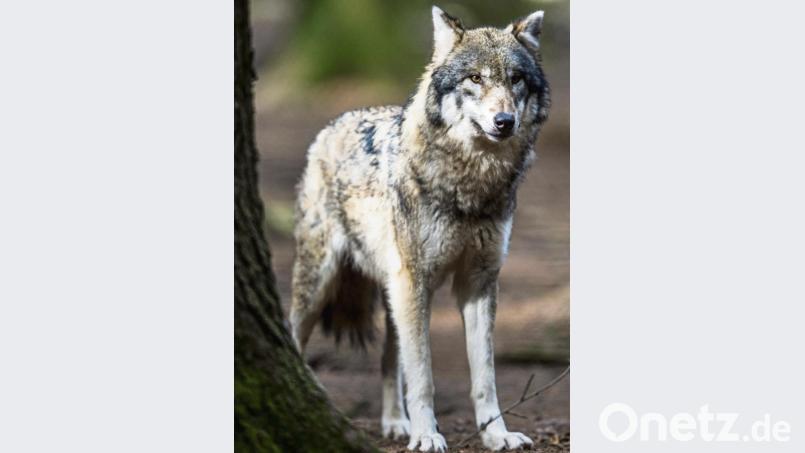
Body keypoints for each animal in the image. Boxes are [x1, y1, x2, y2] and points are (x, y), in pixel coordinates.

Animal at [289, 6, 550, 452]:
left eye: (516, 78)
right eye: (475, 78)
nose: (504, 121)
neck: (470, 186)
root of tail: (334, 123)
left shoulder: (479, 282)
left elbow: (485, 376)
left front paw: (496, 434)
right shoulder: (416, 281)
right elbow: (423, 376)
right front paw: (428, 435)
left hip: (394, 292)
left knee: (388, 360)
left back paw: (396, 423)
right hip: (323, 285)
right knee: (294, 336)